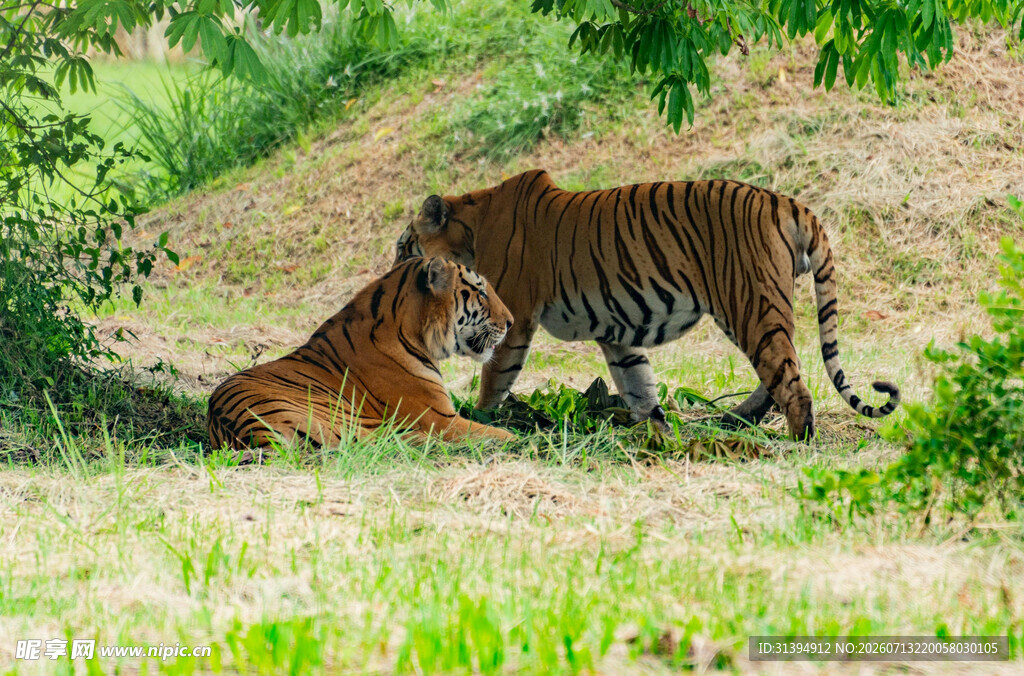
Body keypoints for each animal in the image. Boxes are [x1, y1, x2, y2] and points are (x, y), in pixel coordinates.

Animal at [207, 256, 516, 450]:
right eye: (481, 293)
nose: (511, 322)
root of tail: (251, 432)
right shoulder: (442, 420)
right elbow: (501, 433)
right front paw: (518, 439)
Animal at [394, 169, 900, 440]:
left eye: (403, 247)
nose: (394, 272)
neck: (472, 228)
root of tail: (784, 200)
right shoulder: (616, 333)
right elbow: (638, 385)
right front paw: (655, 435)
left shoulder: (515, 318)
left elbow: (495, 376)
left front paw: (480, 415)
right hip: (757, 309)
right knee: (782, 369)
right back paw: (737, 418)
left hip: (749, 303)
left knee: (792, 383)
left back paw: (795, 443)